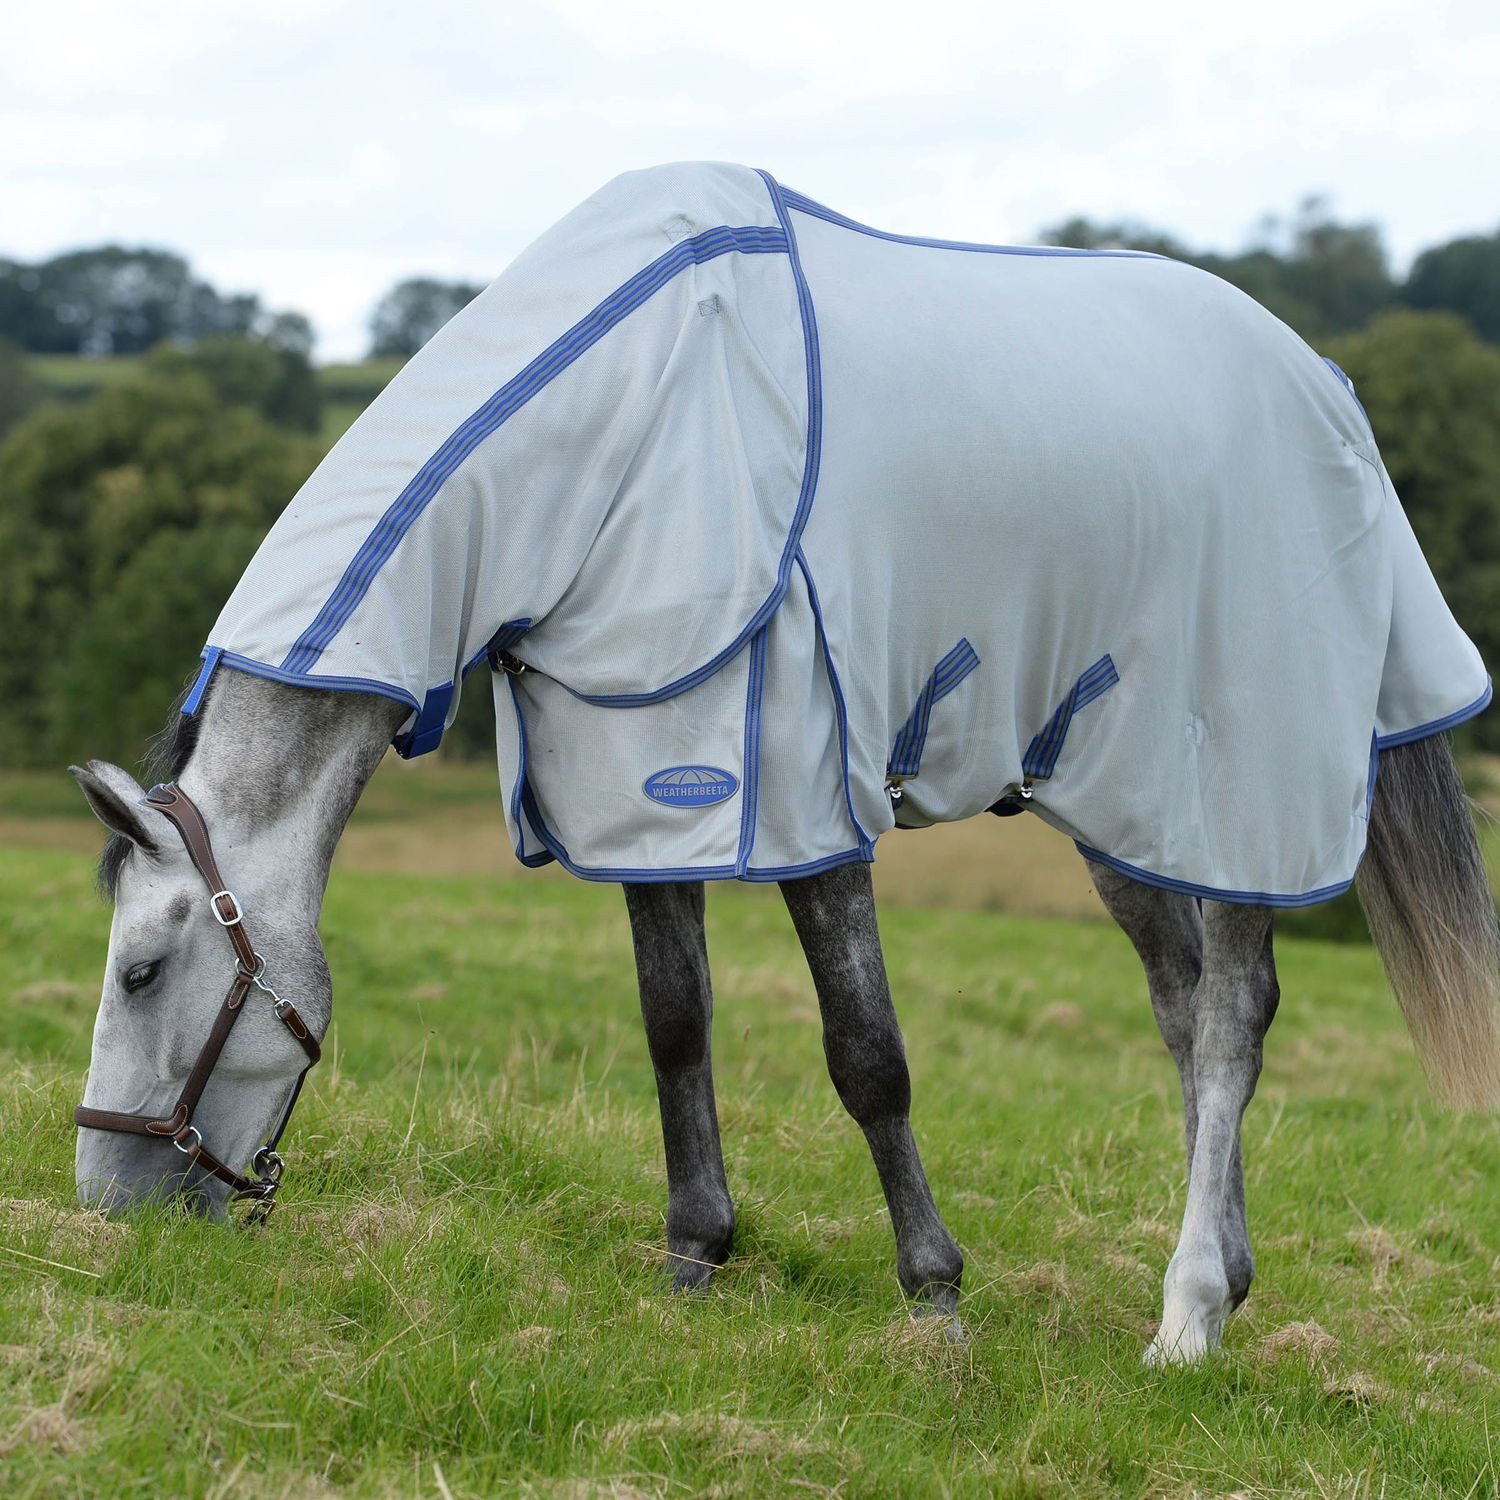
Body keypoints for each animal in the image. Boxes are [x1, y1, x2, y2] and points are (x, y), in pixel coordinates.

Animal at [70, 162, 1498, 1365]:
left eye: (141, 971)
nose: (104, 1208)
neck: (623, 419)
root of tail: (1326, 380)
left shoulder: (809, 790)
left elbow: (867, 1053)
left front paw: (935, 1298)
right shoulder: (644, 781)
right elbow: (675, 1027)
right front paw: (693, 1258)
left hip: (1243, 785)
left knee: (1232, 1017)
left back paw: (1187, 1317)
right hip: (1122, 798)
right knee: (1183, 1007)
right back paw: (1230, 1282)